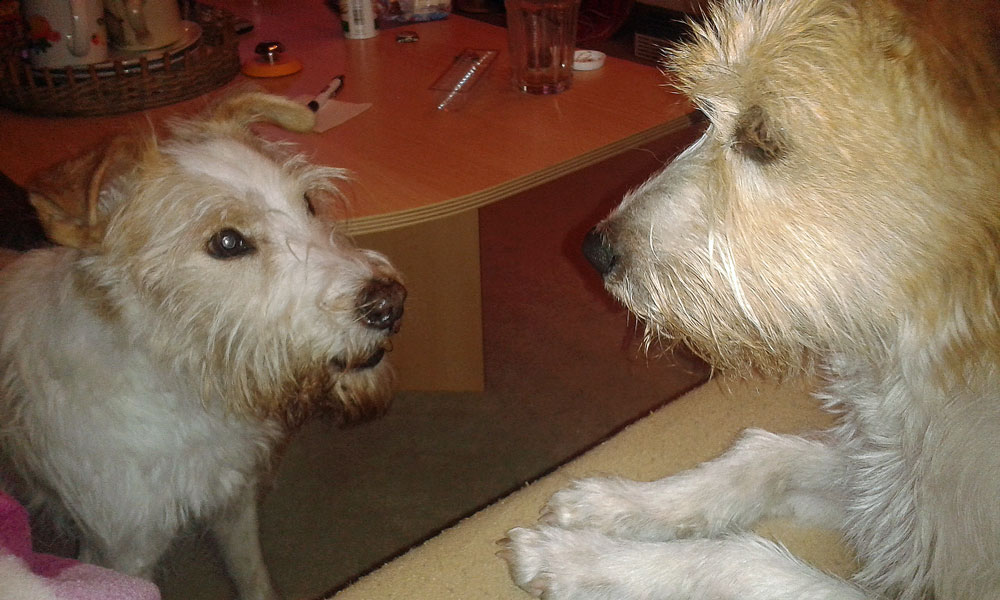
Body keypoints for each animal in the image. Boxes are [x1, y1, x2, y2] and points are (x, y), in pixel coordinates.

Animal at [0, 93, 405, 600]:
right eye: (228, 241)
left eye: (308, 202)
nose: (391, 304)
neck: (186, 387)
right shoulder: (120, 554)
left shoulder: (234, 502)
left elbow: (253, 575)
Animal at [501, 0, 1000, 598]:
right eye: (701, 117)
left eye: (763, 138)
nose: (594, 251)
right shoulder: (886, 480)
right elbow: (763, 455)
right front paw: (615, 505)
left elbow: (737, 559)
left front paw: (582, 560)